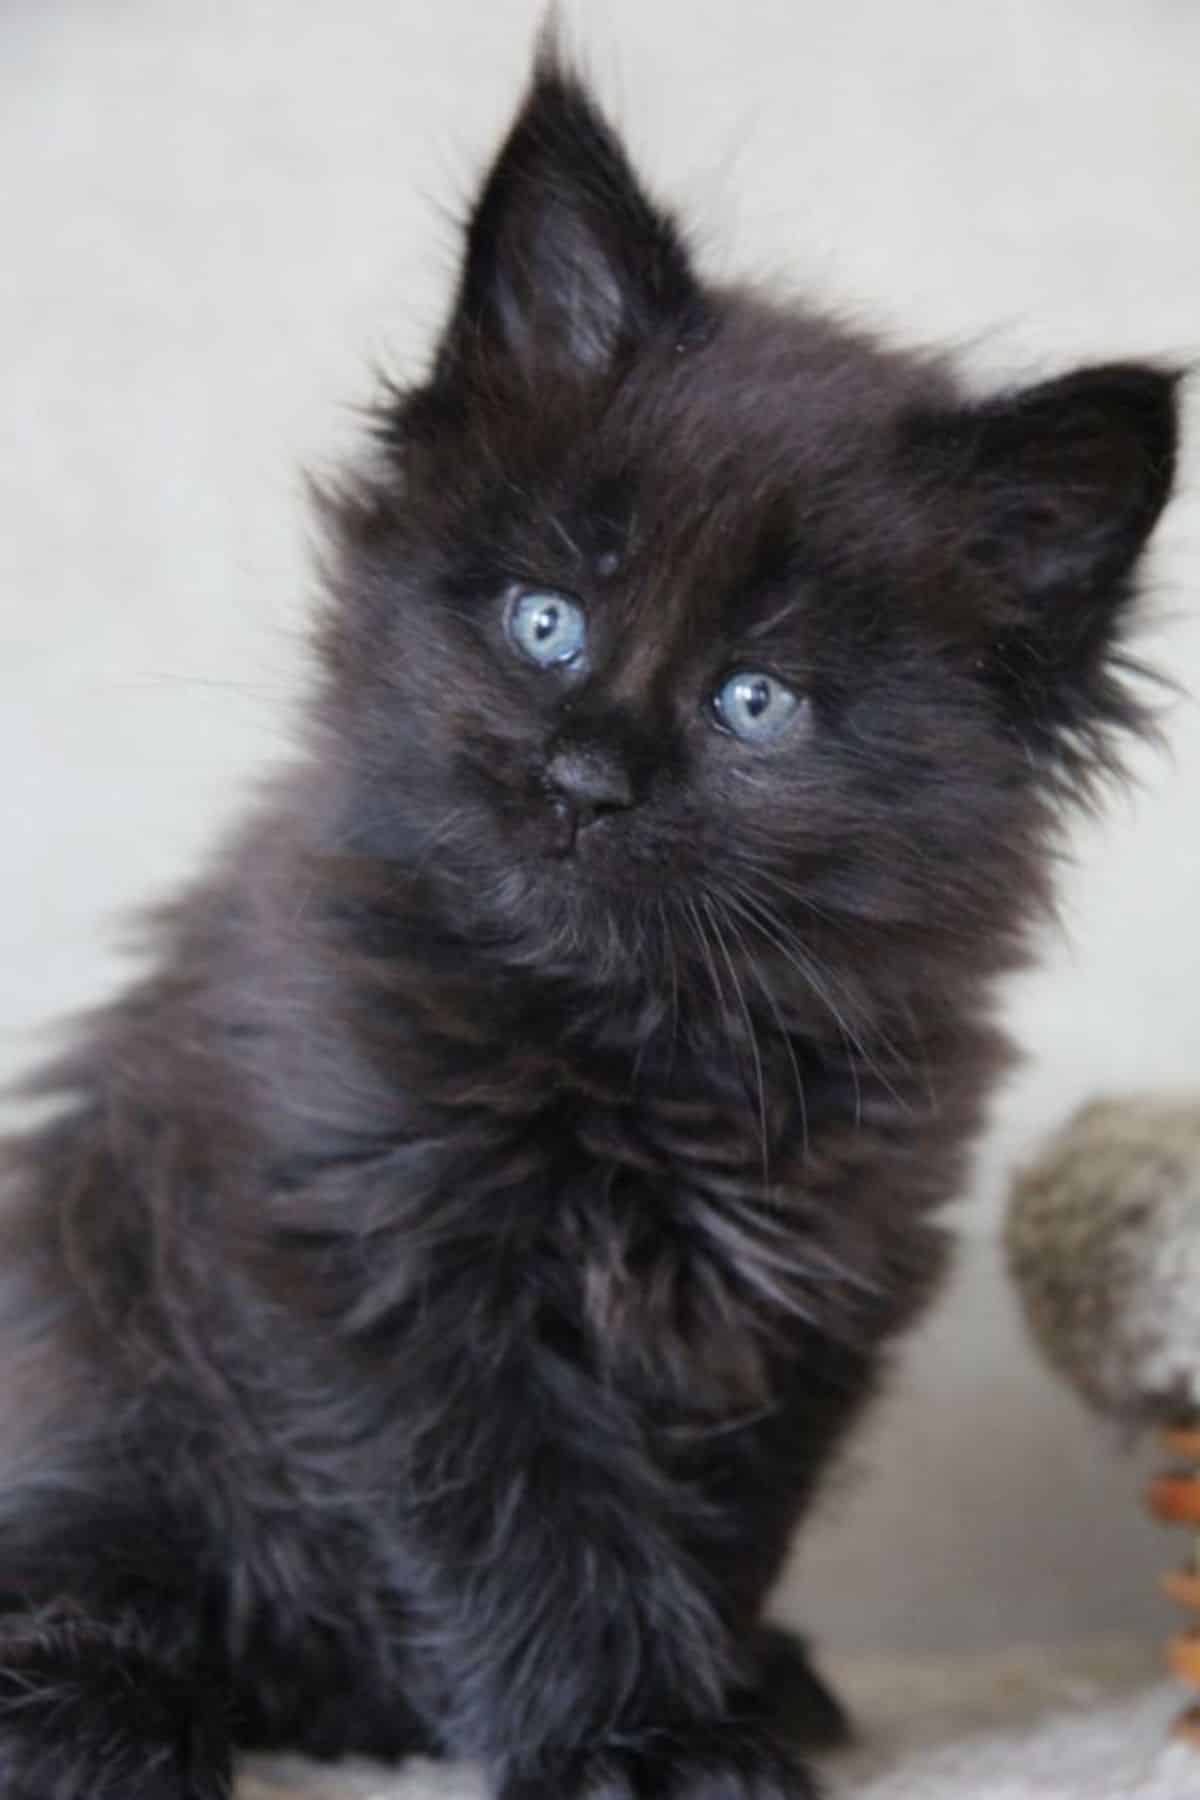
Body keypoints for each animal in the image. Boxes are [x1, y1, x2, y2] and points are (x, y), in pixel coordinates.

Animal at [0, 42, 1180, 1800]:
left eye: (757, 703)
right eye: (546, 621)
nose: (584, 778)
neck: (634, 1043)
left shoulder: (809, 1293)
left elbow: (708, 1527)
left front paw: (709, 1695)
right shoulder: (385, 1259)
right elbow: (537, 1527)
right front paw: (639, 1737)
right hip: (105, 1374)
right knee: (100, 1565)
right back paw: (114, 1720)